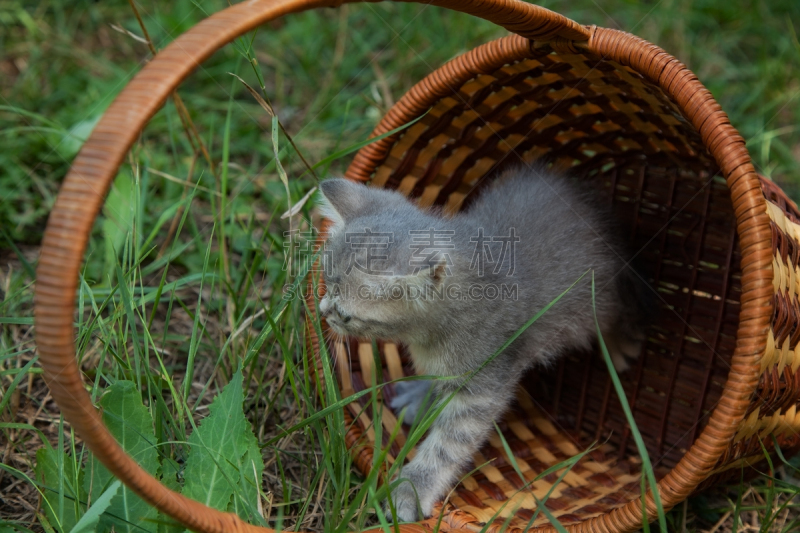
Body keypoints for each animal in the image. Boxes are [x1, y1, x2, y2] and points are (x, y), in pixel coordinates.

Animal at [316, 165, 648, 520]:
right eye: (326, 281)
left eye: (346, 315)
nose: (322, 312)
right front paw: (421, 395)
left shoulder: (483, 384)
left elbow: (447, 446)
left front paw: (410, 490)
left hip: (601, 296)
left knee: (619, 310)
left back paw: (621, 345)